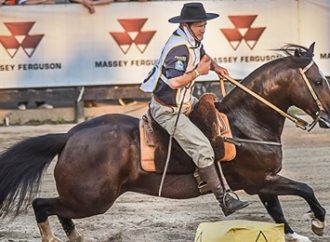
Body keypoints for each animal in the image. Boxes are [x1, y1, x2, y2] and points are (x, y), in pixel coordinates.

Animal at [0, 44, 330, 242]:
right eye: (317, 81)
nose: (328, 115)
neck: (245, 120)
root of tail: (69, 136)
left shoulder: (264, 182)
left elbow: (277, 211)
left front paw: (296, 233)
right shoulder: (259, 180)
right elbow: (306, 190)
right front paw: (317, 224)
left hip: (85, 199)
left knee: (58, 211)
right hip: (91, 199)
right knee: (42, 205)